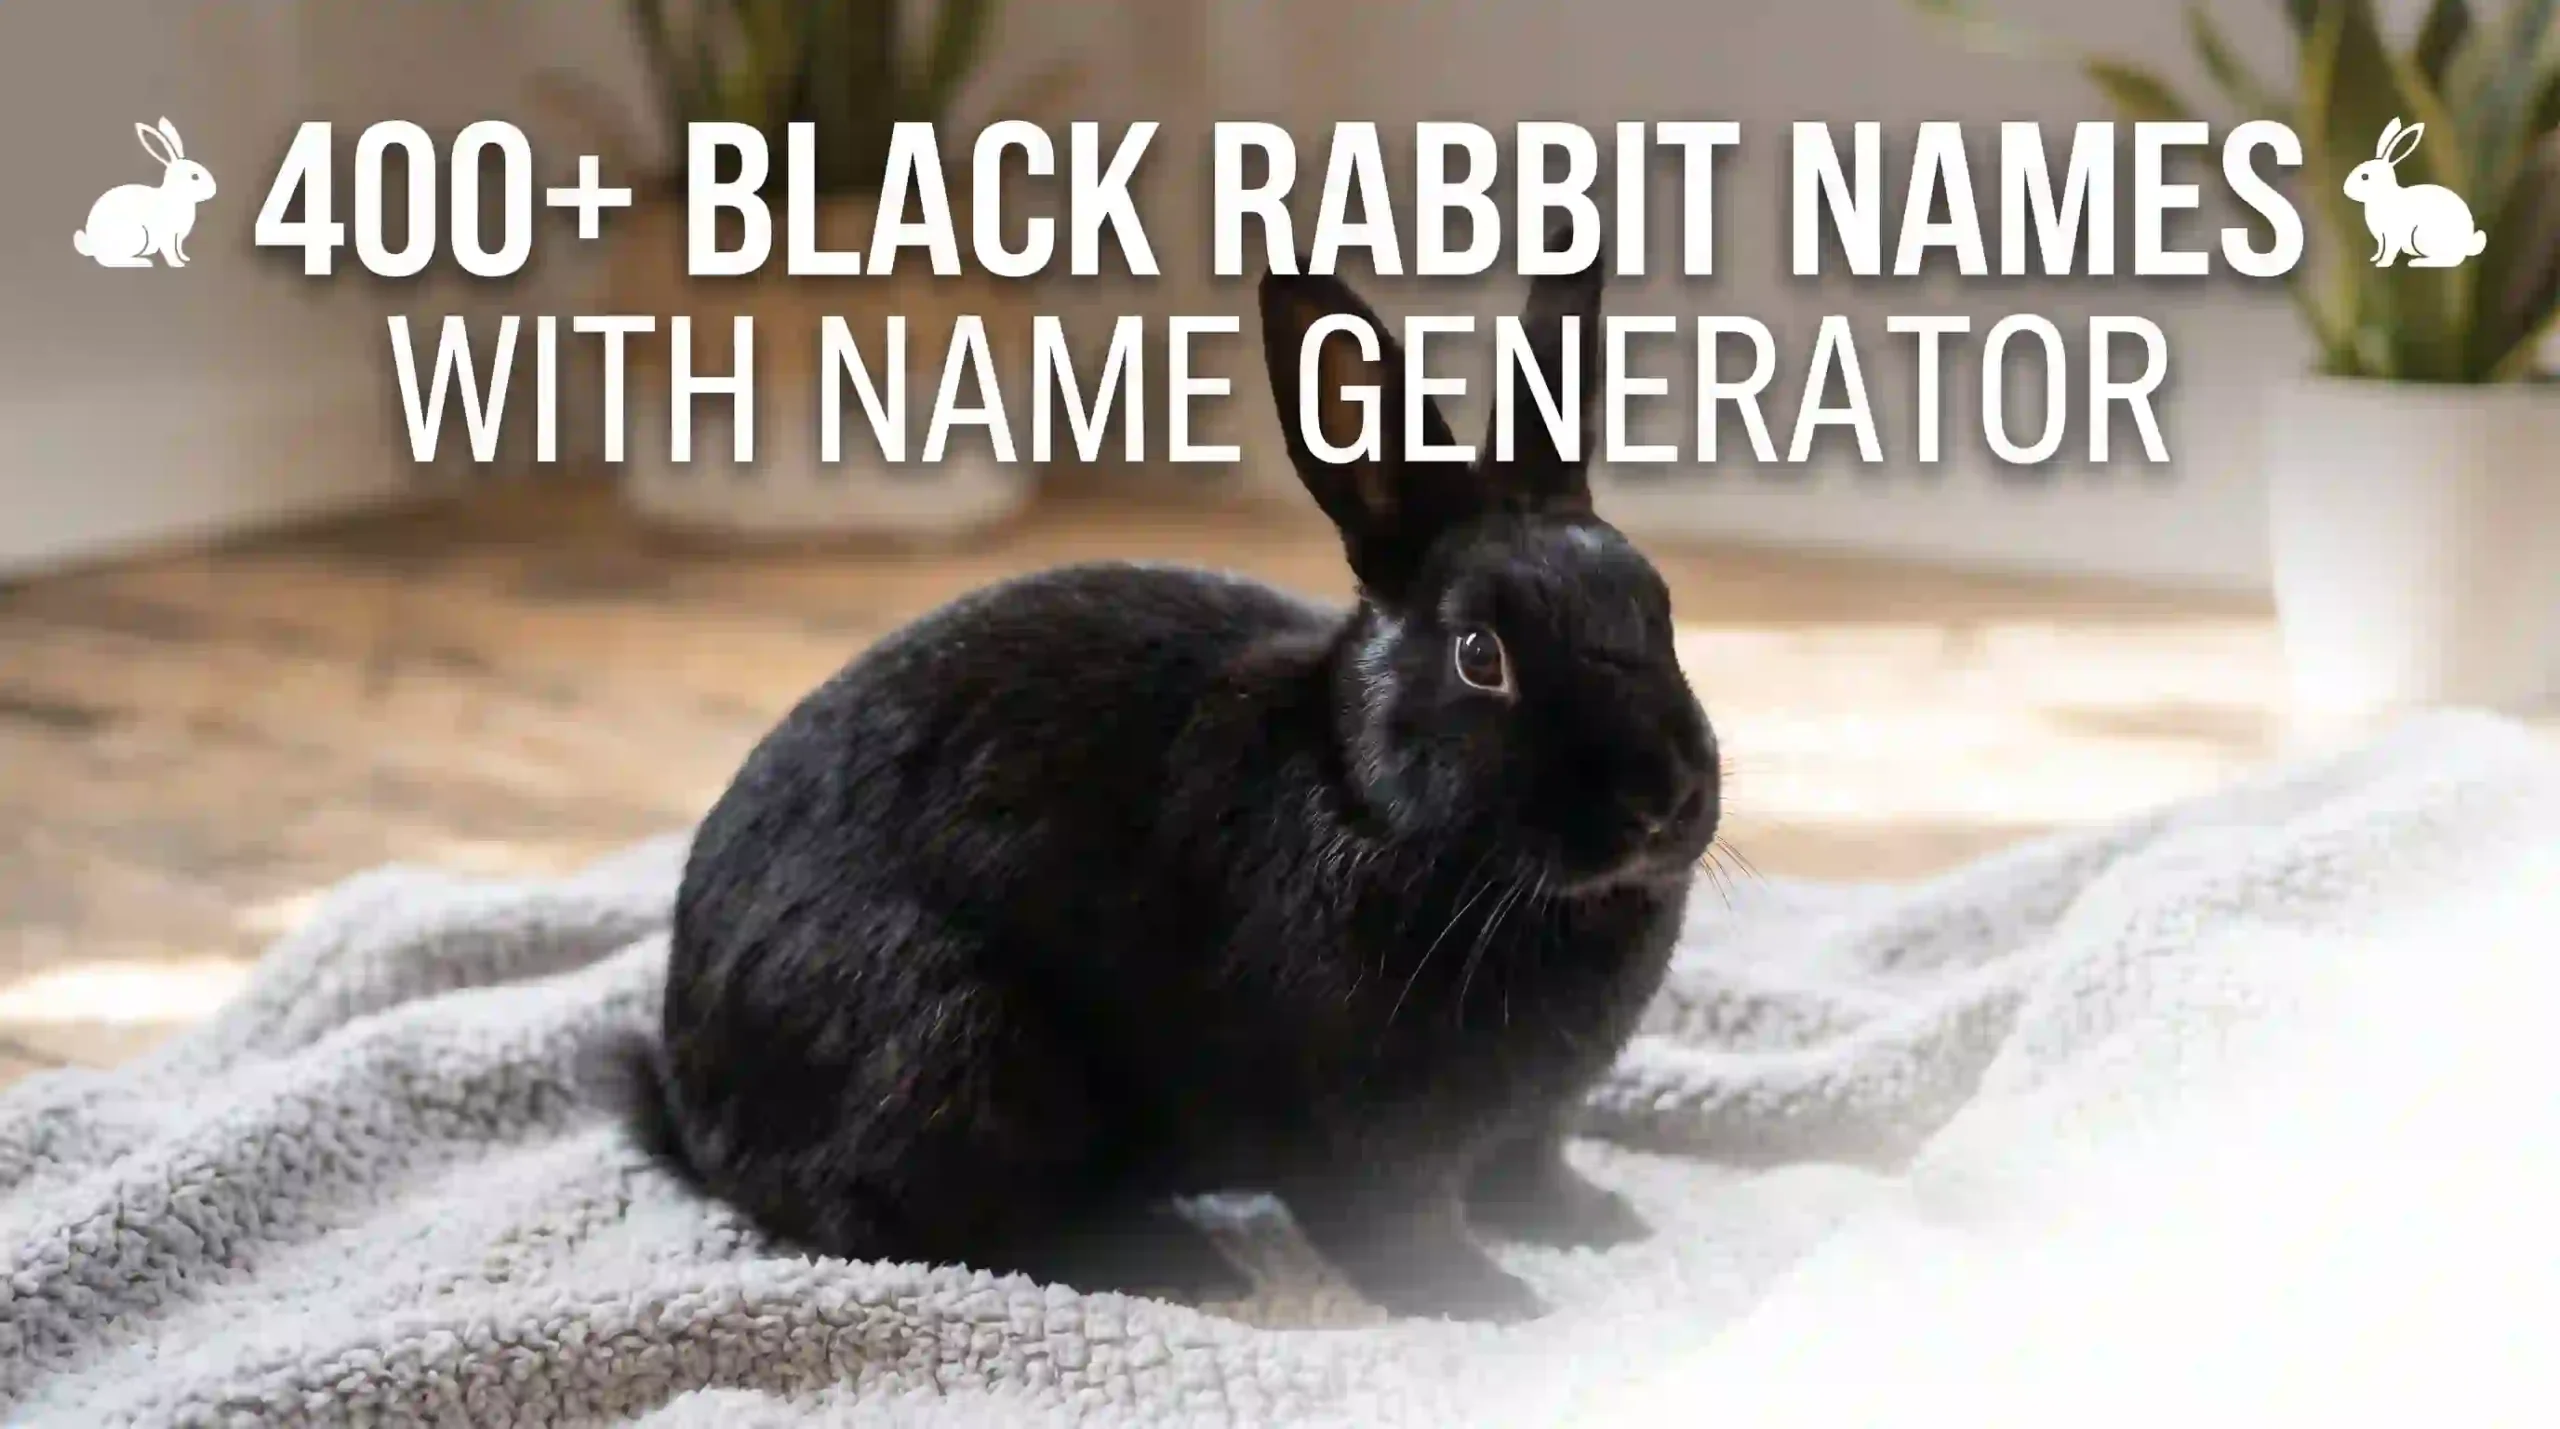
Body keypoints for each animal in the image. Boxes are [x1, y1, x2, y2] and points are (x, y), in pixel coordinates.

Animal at [75, 118, 217, 269]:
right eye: (195, 176)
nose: (214, 190)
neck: (176, 196)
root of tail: (92, 246)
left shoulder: (179, 237)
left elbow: (179, 249)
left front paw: (185, 259)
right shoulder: (167, 236)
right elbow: (170, 251)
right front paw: (177, 264)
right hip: (137, 236)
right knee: (108, 260)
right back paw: (143, 262)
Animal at [631, 240, 1720, 1324]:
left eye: (1658, 607)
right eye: (1480, 656)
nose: (1662, 801)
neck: (1370, 805)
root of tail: (691, 1093)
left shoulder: (1536, 1118)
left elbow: (1526, 1165)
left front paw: (1594, 1222)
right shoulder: (1358, 1129)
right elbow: (1389, 1227)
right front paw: (1492, 1299)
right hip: (957, 1058)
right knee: (928, 1230)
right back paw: (1183, 1261)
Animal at [2343, 117, 2486, 269]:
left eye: (2365, 176)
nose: (2345, 190)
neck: (2383, 195)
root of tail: (2467, 245)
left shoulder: (2393, 236)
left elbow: (2389, 251)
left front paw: (2382, 264)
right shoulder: (2381, 238)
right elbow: (2380, 249)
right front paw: (2374, 259)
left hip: (2422, 237)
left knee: (2451, 260)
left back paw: (2417, 262)